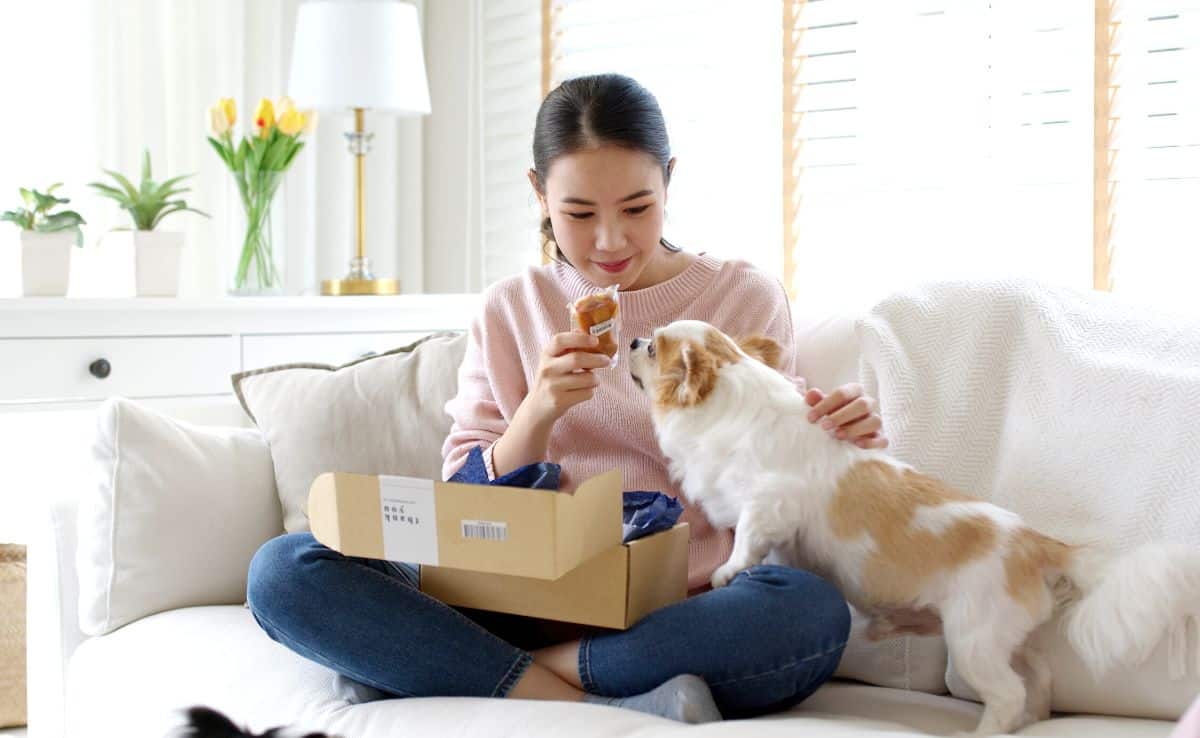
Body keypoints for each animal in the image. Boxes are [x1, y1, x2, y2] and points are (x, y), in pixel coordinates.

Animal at [628, 321, 1200, 734]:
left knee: (1007, 692)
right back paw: (1032, 720)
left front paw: (728, 572)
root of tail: (1036, 543)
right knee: (1038, 676)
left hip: (972, 641)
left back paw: (989, 731)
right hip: (1009, 639)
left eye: (652, 349)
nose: (630, 339)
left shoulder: (770, 503)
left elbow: (747, 540)